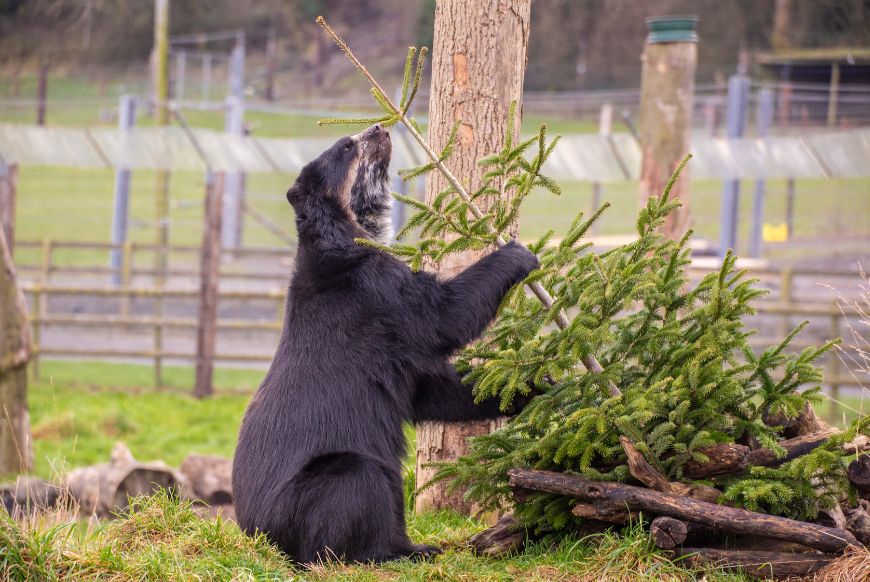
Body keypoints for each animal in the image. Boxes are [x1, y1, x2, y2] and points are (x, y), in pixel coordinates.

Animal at [231, 123, 539, 564]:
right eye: (347, 145)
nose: (380, 127)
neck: (352, 232)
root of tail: (259, 536)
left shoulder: (396, 354)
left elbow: (435, 392)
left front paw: (531, 388)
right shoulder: (377, 293)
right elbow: (441, 316)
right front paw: (519, 251)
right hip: (317, 489)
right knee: (363, 487)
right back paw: (407, 549)